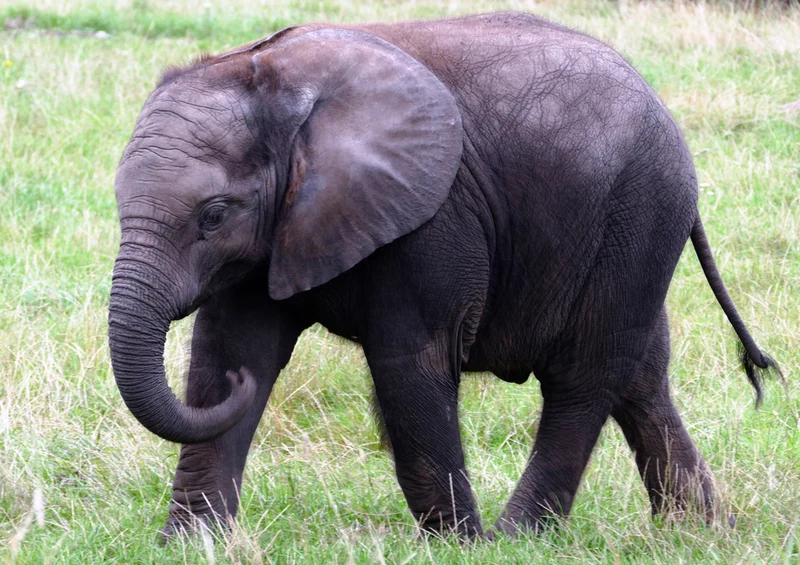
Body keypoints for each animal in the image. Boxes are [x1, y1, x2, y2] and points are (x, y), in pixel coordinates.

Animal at [108, 12, 781, 539]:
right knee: (640, 377)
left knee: (584, 376)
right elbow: (231, 346)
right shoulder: (277, 231)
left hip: (638, 212)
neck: (273, 81)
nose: (243, 388)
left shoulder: (434, 217)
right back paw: (698, 532)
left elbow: (411, 362)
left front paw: (458, 544)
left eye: (213, 216)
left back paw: (516, 537)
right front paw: (190, 544)